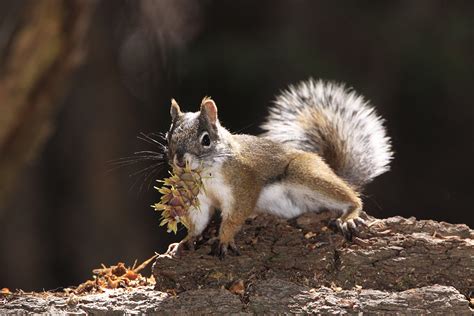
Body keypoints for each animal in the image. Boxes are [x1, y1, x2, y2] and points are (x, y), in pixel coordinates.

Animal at [165, 78, 390, 258]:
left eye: (206, 140)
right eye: (168, 137)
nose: (179, 160)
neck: (205, 173)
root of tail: (330, 169)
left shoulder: (244, 184)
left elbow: (235, 216)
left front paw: (224, 239)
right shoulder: (199, 198)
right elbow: (198, 221)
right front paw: (185, 241)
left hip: (305, 173)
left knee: (351, 198)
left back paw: (350, 215)